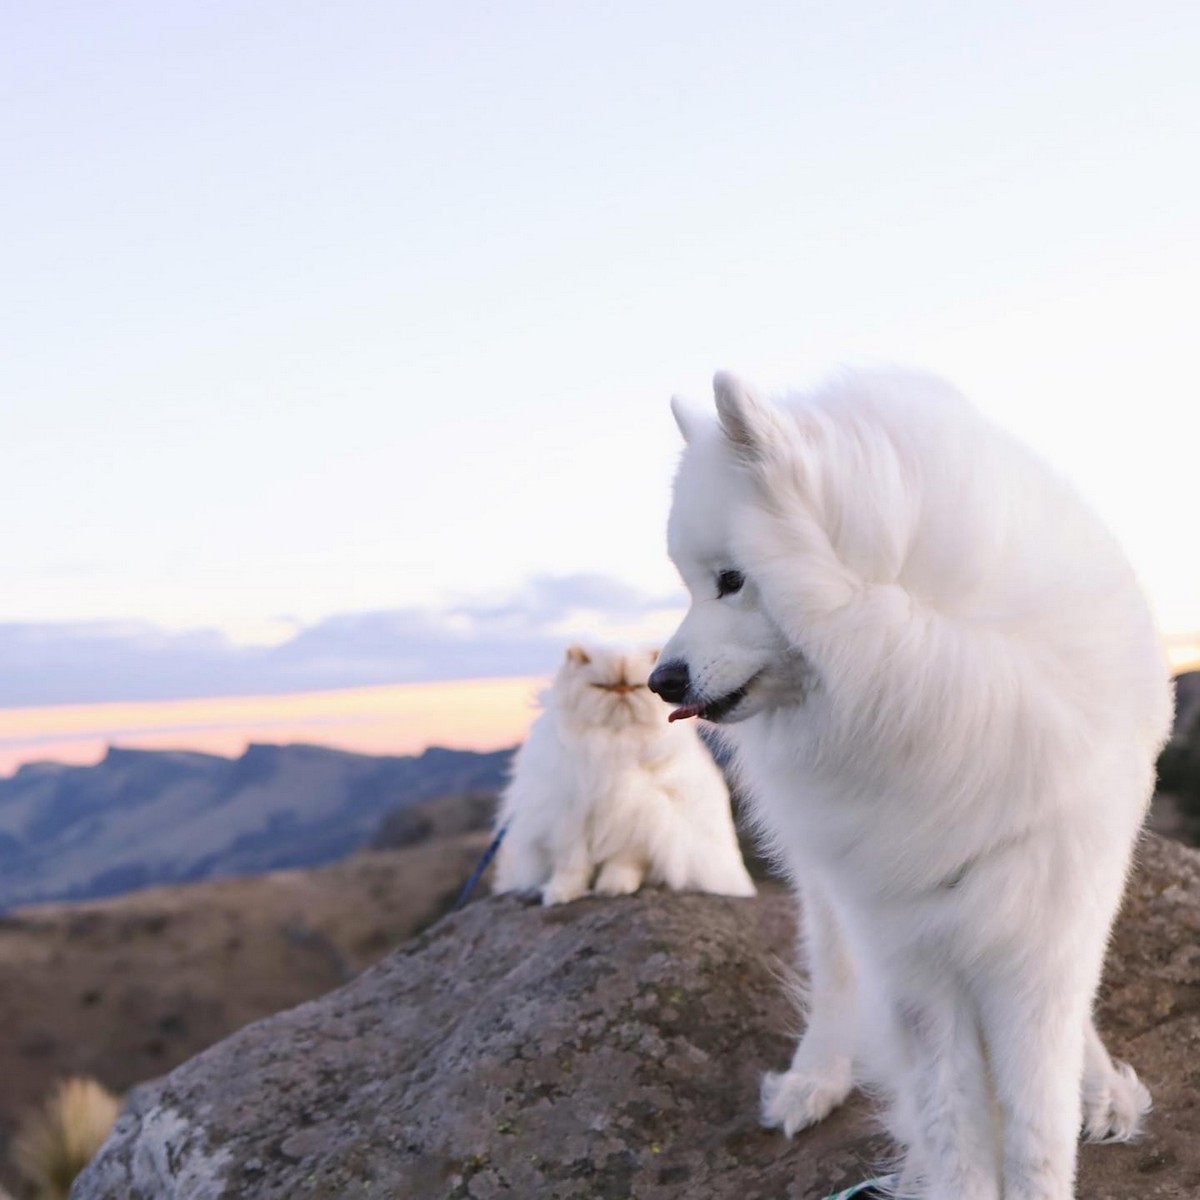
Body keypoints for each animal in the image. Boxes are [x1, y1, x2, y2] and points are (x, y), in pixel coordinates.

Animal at [492, 643, 753, 902]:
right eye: (601, 687)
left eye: (635, 687)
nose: (620, 691)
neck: (614, 745)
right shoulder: (567, 819)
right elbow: (571, 866)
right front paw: (562, 893)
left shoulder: (639, 822)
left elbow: (623, 863)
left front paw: (615, 887)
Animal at [648, 367, 1171, 1200]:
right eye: (694, 583)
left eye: (731, 580)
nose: (660, 681)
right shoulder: (909, 947)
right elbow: (951, 1120)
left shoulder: (1043, 923)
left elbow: (1037, 1118)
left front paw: (1068, 1112)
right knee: (834, 973)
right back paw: (816, 1076)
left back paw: (1099, 1087)